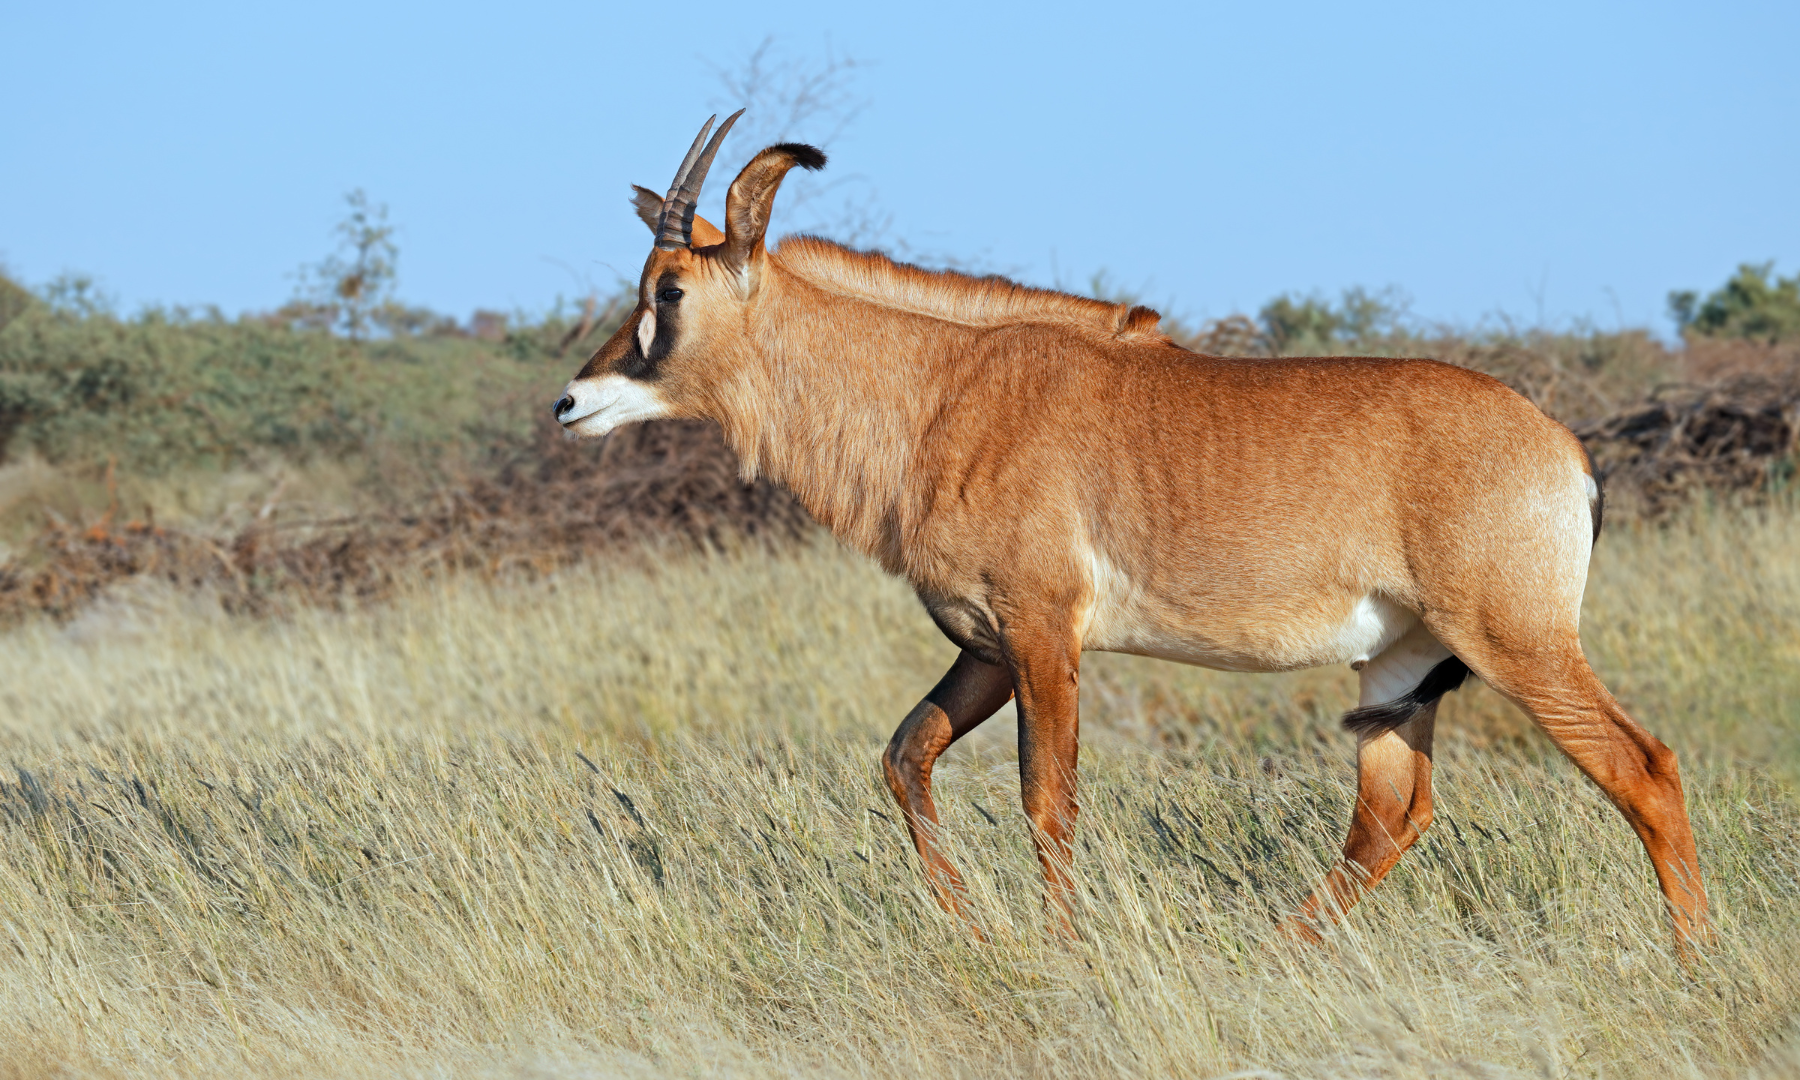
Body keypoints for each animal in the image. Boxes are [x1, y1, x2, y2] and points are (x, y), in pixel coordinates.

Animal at [554, 112, 1712, 955]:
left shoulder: (1042, 634)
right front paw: (970, 926)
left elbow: (1047, 801)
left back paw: (1691, 962)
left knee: (1645, 768)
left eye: (669, 290)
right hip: (1398, 667)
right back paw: (1273, 955)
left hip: (1516, 641)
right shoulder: (986, 646)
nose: (572, 402)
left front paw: (1065, 951)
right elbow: (905, 758)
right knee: (1391, 813)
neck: (938, 393)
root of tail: (1563, 447)